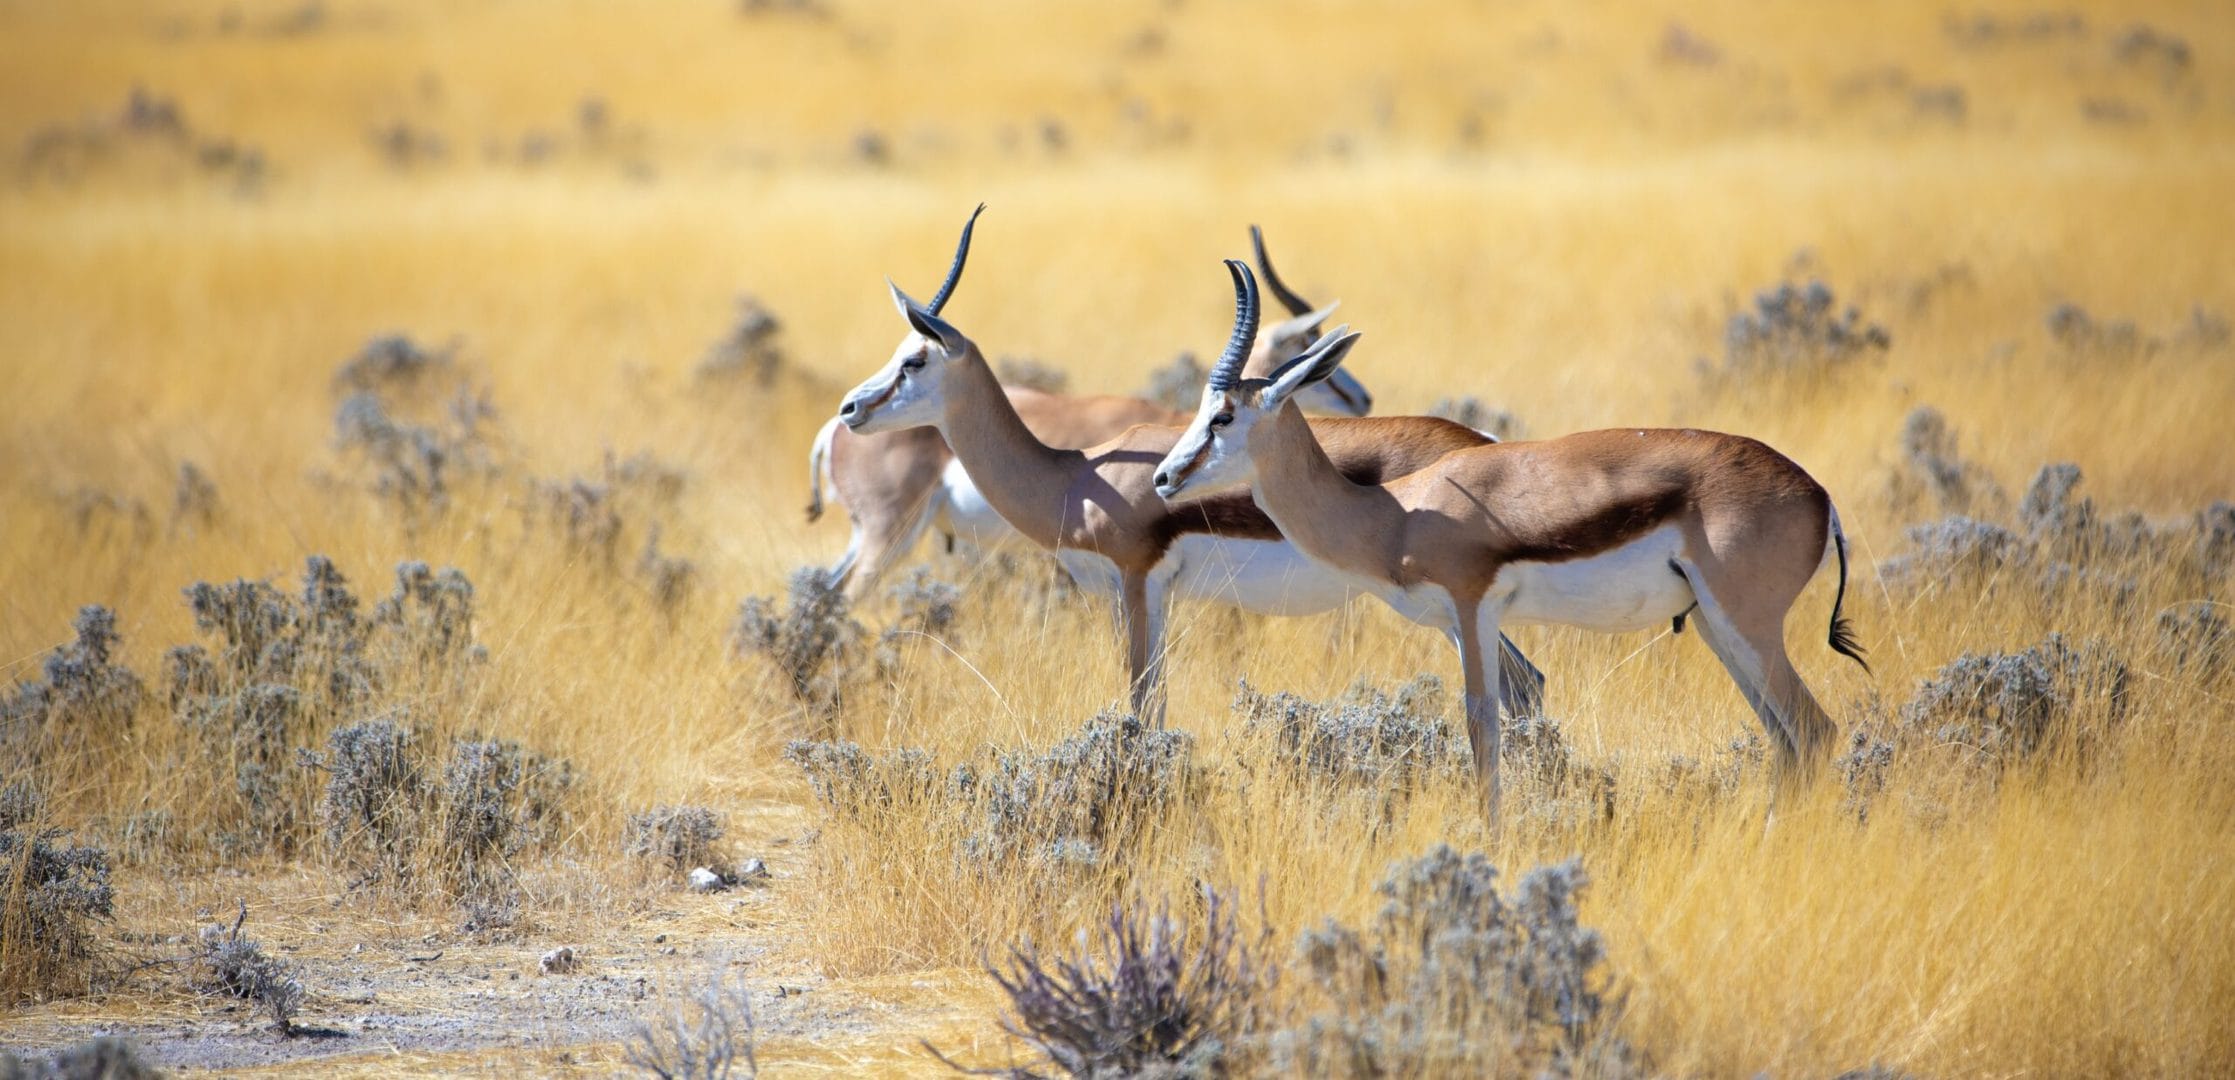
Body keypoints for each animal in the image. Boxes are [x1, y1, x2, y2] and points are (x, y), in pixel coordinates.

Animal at [1152, 262, 1869, 823]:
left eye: (1223, 416)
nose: (1163, 477)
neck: (1397, 512)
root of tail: (1821, 497)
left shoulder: (1473, 611)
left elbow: (1482, 726)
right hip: (1719, 629)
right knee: (1787, 740)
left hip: (1746, 625)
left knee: (1813, 730)